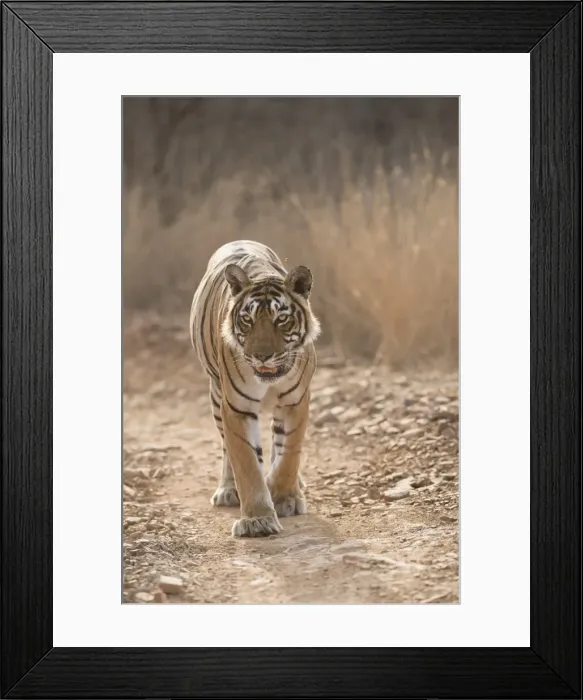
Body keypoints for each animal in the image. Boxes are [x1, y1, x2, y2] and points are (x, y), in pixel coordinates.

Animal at [189, 240, 321, 537]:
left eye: (281, 319)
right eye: (247, 320)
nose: (261, 356)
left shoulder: (295, 402)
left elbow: (288, 454)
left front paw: (285, 498)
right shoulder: (236, 408)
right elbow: (247, 464)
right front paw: (257, 520)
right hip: (216, 396)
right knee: (227, 450)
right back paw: (228, 490)